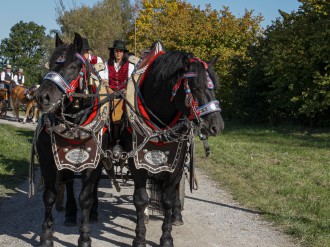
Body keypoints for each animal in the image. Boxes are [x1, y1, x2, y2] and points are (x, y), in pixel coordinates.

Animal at [34, 33, 112, 247]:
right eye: (51, 62)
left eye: (73, 66)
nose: (42, 96)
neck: (76, 123)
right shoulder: (48, 159)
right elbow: (49, 196)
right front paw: (46, 235)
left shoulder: (94, 161)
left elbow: (85, 196)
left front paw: (84, 236)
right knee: (68, 181)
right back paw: (69, 213)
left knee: (92, 188)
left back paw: (93, 213)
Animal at [121, 48, 224, 247]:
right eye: (196, 88)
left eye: (213, 88)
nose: (217, 126)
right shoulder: (136, 162)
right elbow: (141, 199)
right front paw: (139, 237)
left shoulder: (175, 163)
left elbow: (168, 199)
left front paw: (167, 238)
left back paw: (177, 215)